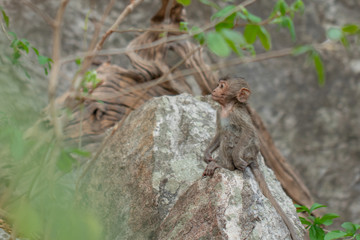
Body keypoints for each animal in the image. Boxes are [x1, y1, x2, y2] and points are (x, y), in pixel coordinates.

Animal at [204, 76, 300, 240]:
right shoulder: (218, 112)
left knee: (230, 136)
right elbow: (219, 132)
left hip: (247, 152)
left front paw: (234, 160)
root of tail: (254, 157)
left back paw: (224, 165)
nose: (214, 89)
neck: (227, 108)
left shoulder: (237, 114)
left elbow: (249, 131)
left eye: (222, 86)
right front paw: (207, 154)